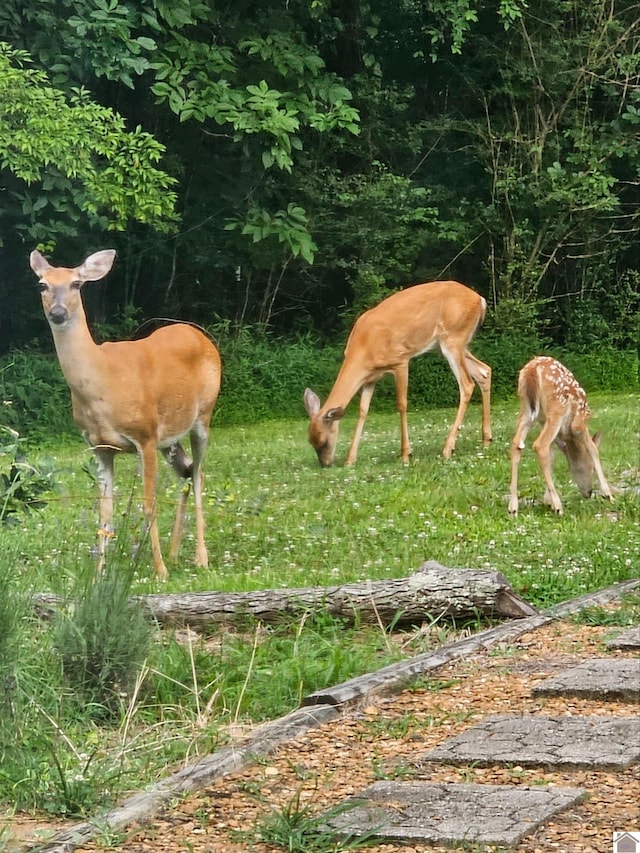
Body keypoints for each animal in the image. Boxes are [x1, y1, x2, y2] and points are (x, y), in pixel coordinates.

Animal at [30, 248, 222, 580]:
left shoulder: (144, 435)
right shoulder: (100, 446)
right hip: (170, 437)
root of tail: (201, 336)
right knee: (186, 472)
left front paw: (160, 571)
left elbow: (148, 505)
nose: (58, 312)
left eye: (77, 284)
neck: (101, 383)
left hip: (203, 416)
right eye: (43, 285)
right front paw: (99, 575)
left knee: (198, 475)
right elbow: (104, 515)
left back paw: (200, 557)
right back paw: (175, 552)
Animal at [302, 280, 492, 466]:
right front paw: (350, 460)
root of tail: (479, 299)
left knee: (467, 383)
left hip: (453, 337)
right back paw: (486, 439)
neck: (364, 349)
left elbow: (401, 404)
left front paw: (406, 454)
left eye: (323, 442)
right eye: (311, 442)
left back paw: (447, 449)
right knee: (484, 370)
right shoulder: (371, 378)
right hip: (447, 345)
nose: (326, 464)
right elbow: (363, 411)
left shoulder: (400, 360)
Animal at [508, 356, 612, 516]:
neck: (568, 437)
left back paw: (513, 506)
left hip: (526, 410)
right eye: (591, 469)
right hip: (556, 408)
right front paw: (608, 494)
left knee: (516, 443)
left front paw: (547, 500)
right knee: (540, 445)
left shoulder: (549, 428)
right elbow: (593, 448)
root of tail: (532, 369)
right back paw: (558, 506)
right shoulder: (578, 424)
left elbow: (552, 456)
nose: (588, 493)